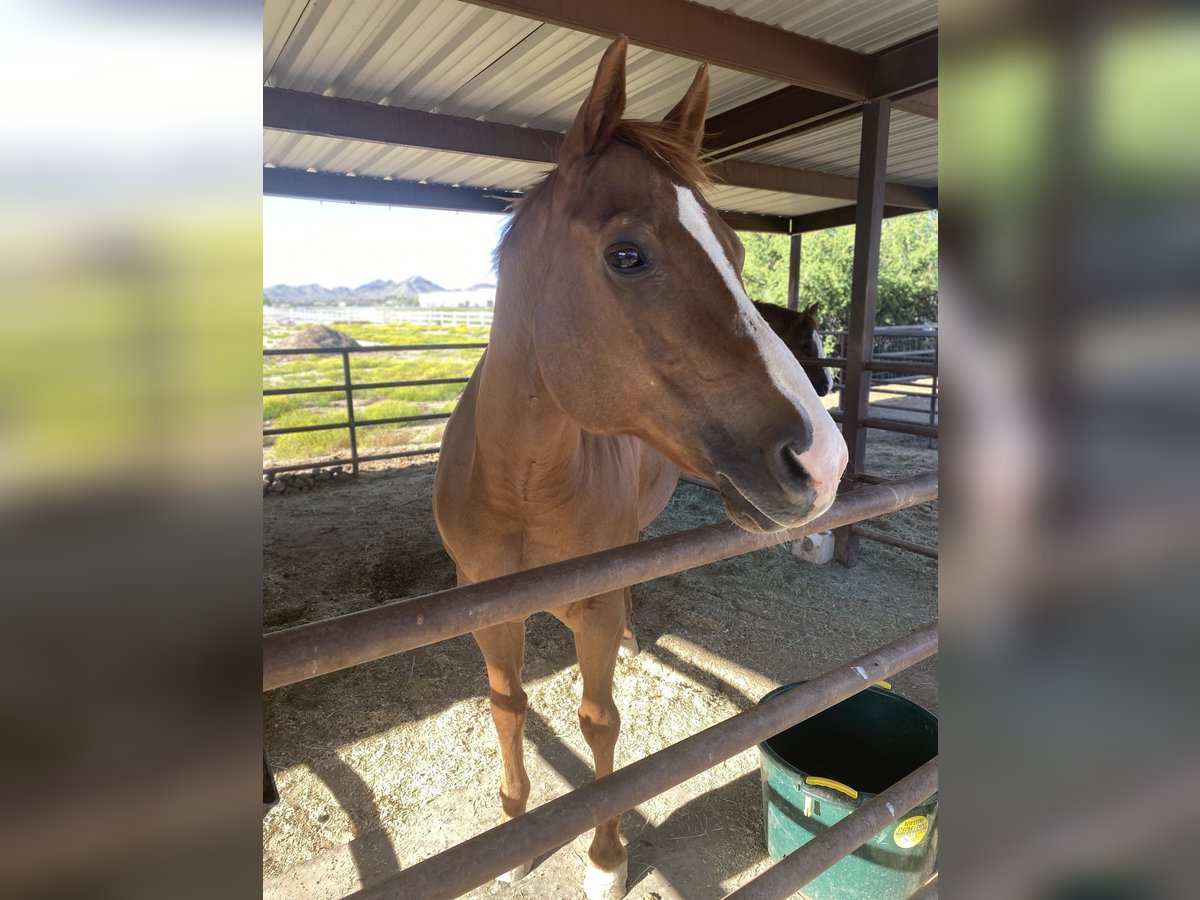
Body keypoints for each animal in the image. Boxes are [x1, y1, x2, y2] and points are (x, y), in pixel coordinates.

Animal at [432, 38, 844, 897]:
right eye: (628, 254)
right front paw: (516, 837)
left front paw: (605, 858)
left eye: (738, 251)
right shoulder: (483, 609)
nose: (824, 460)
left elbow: (599, 724)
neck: (519, 484)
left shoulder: (589, 609)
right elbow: (508, 707)